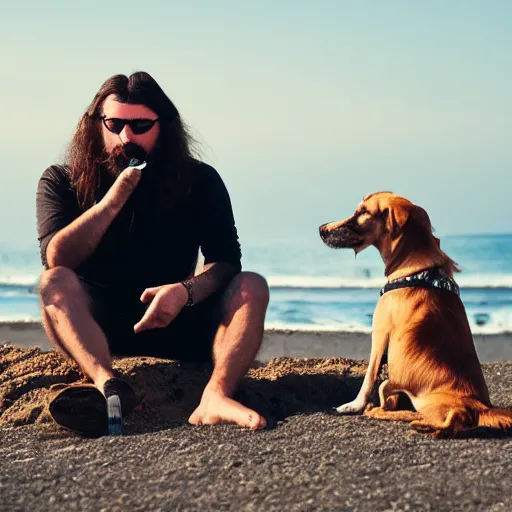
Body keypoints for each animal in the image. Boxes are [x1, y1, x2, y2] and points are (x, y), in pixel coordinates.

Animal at [320, 190, 512, 438]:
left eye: (363, 212)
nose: (321, 229)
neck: (414, 268)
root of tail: (480, 408)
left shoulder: (380, 334)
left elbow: (369, 378)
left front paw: (352, 405)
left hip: (436, 403)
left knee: (453, 420)